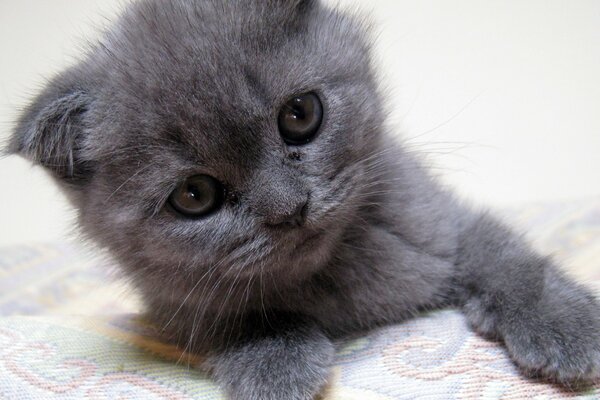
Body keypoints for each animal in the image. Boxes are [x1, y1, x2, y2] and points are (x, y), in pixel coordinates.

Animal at [7, 0, 596, 400]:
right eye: (194, 195)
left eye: (299, 114)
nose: (288, 208)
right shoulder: (171, 304)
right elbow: (226, 315)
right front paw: (275, 363)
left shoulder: (438, 222)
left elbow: (505, 255)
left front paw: (564, 323)